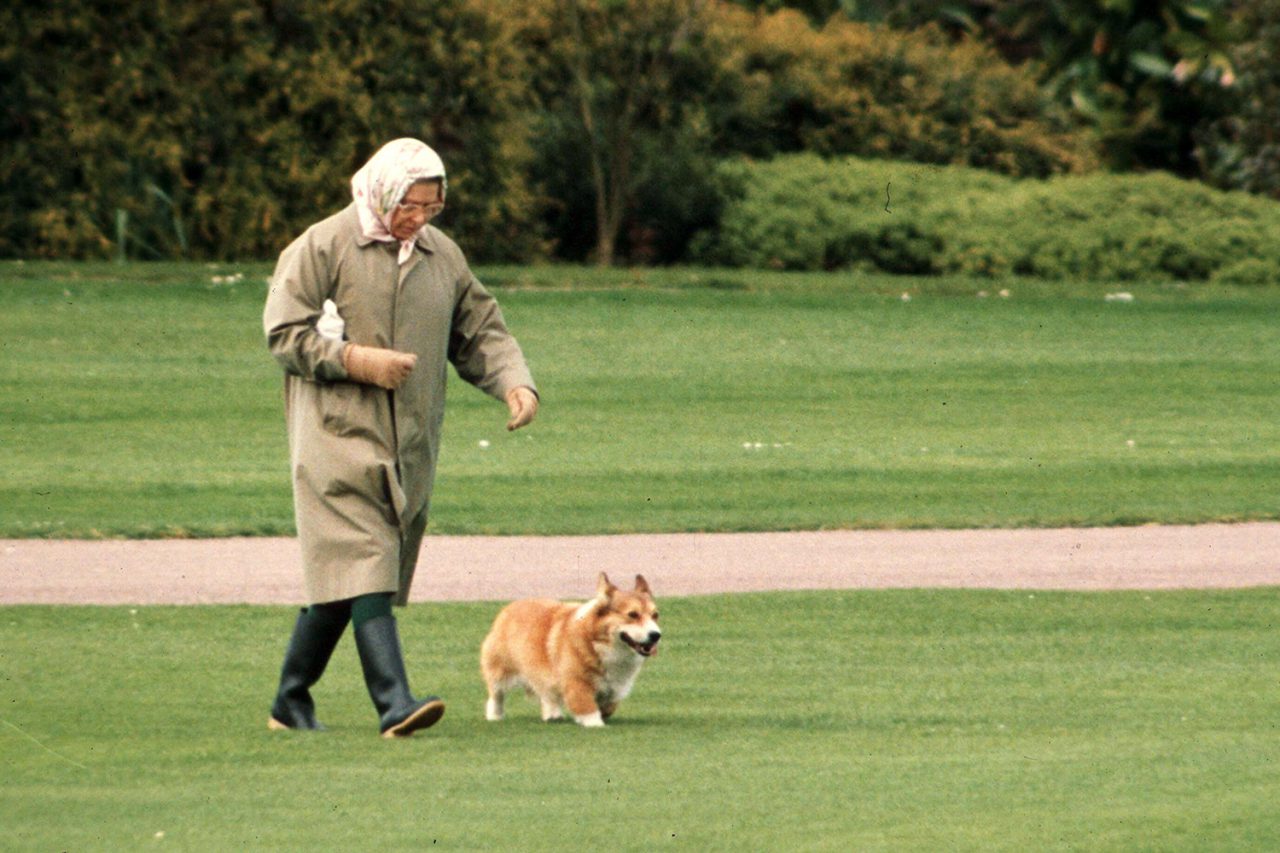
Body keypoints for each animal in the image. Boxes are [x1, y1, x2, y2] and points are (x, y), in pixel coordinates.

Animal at [481, 571, 660, 722]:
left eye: (655, 615)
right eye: (632, 615)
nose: (656, 635)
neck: (599, 644)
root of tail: (508, 608)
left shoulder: (615, 687)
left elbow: (610, 704)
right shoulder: (576, 683)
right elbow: (588, 709)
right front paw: (595, 724)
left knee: (547, 693)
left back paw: (552, 714)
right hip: (500, 672)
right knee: (496, 695)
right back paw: (495, 716)